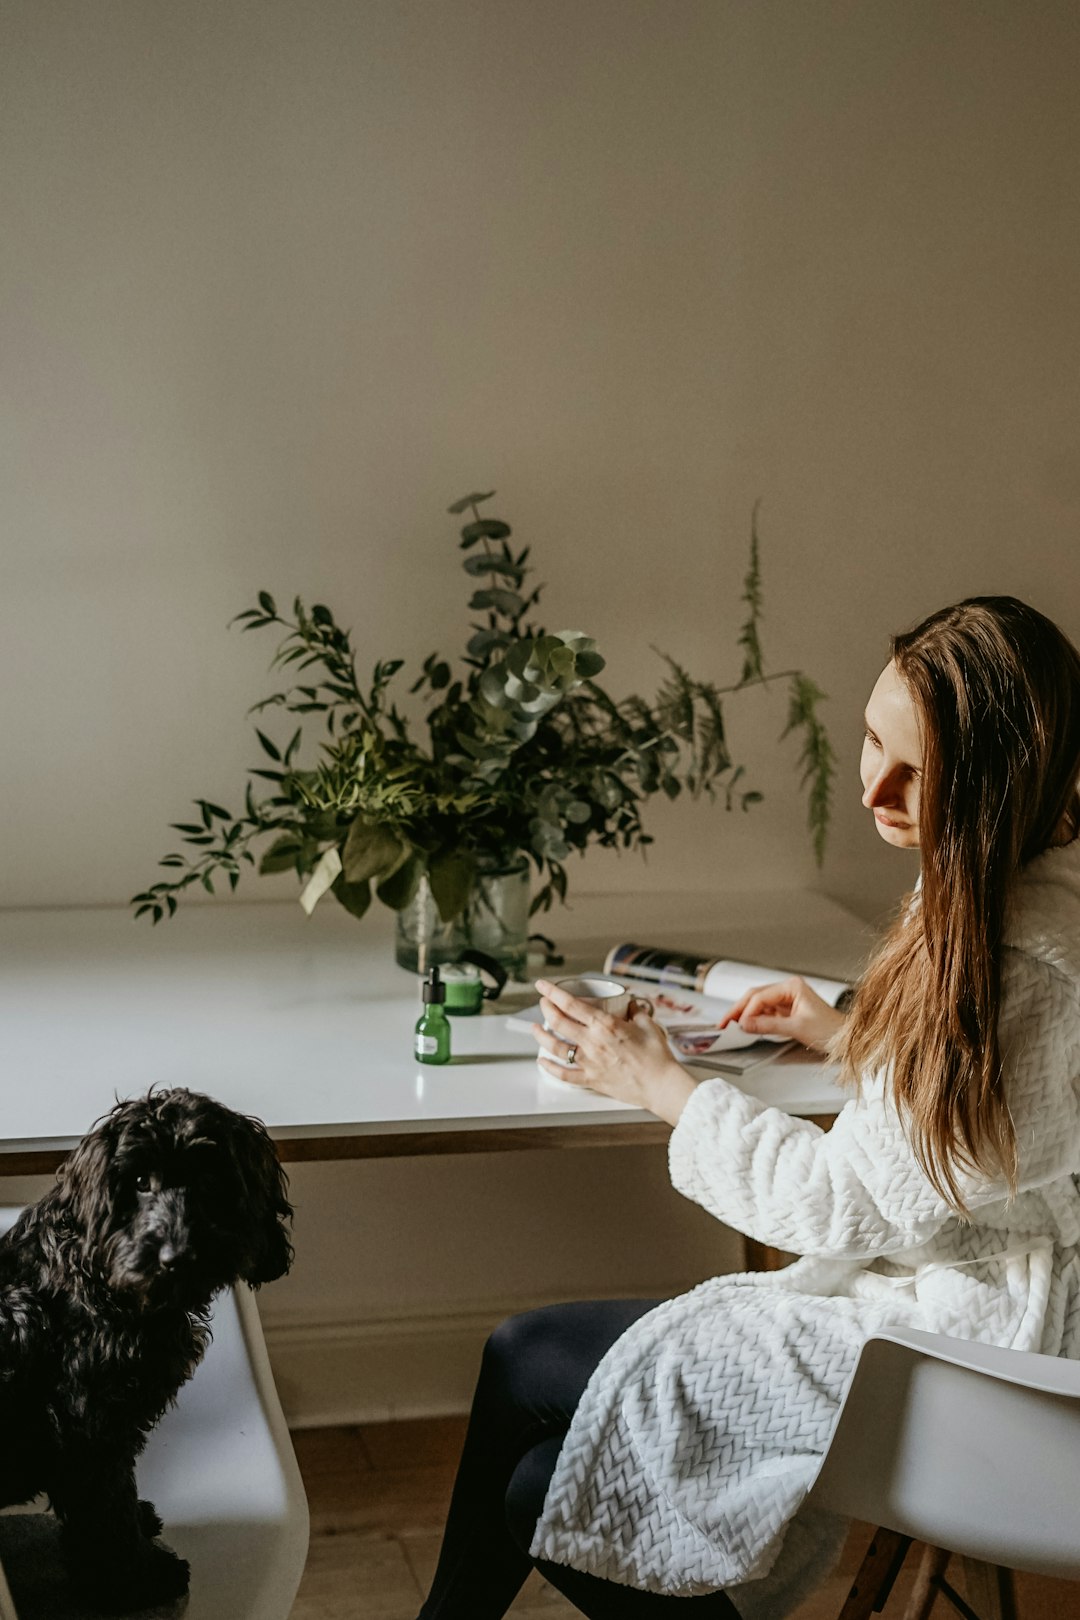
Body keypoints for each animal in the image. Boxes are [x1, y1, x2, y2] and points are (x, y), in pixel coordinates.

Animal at [0, 1088, 293, 1607]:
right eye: (138, 1182)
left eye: (210, 1177)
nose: (177, 1258)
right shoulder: (89, 1431)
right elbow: (107, 1514)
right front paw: (137, 1578)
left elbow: (118, 1497)